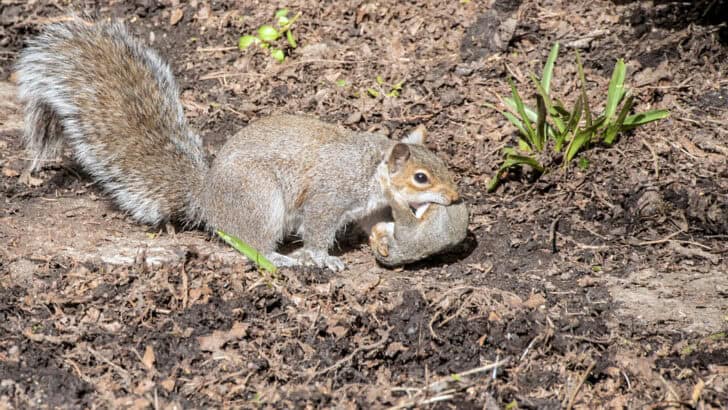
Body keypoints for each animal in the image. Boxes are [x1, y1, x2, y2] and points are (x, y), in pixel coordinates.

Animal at [15, 18, 461, 271]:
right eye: (421, 177)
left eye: (441, 164)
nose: (455, 198)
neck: (370, 169)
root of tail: (207, 198)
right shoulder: (331, 195)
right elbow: (318, 229)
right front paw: (323, 259)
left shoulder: (367, 206)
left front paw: (381, 240)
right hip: (260, 199)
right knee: (253, 244)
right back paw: (280, 258)